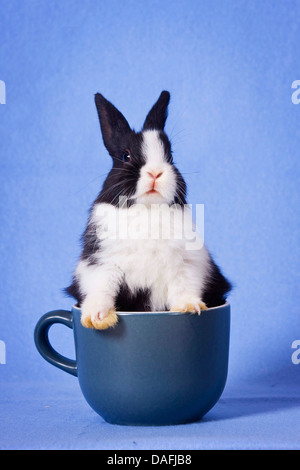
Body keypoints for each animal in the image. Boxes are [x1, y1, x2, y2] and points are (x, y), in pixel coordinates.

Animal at [64, 90, 231, 328]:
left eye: (171, 156)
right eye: (126, 156)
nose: (155, 173)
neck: (148, 209)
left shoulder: (186, 263)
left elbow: (183, 285)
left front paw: (190, 307)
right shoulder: (100, 262)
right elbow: (101, 287)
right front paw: (97, 317)